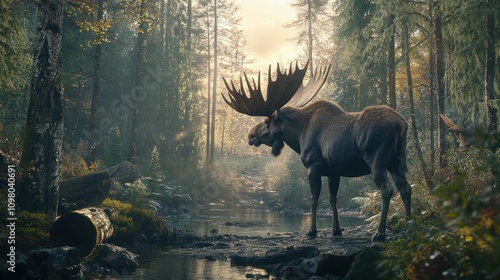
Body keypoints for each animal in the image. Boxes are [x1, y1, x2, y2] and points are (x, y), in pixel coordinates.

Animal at [223, 61, 410, 241]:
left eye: (267, 122)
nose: (250, 135)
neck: (299, 135)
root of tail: (402, 125)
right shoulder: (333, 171)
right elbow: (333, 198)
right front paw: (337, 230)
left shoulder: (314, 165)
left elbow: (314, 199)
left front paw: (312, 231)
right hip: (398, 161)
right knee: (405, 188)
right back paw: (411, 227)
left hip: (377, 160)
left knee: (387, 189)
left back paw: (380, 233)